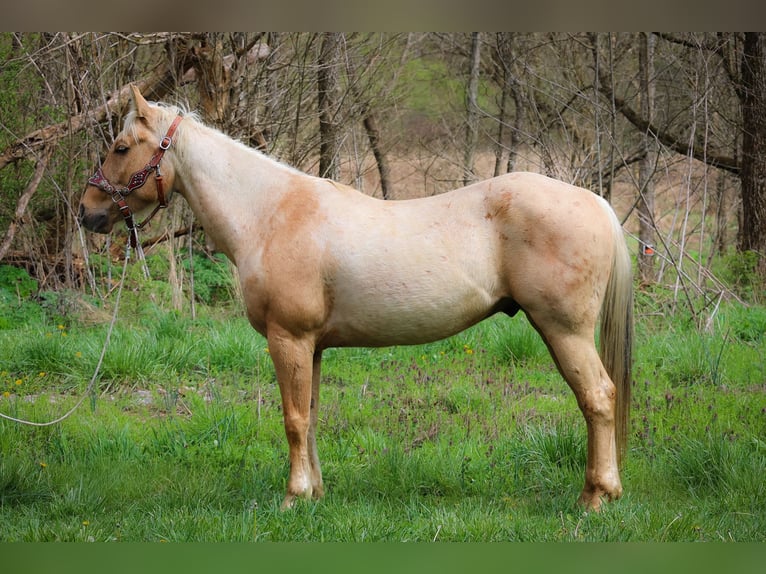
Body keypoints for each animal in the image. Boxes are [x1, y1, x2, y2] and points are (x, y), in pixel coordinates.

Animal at [79, 85, 636, 512]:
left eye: (122, 146)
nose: (87, 212)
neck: (270, 213)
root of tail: (594, 200)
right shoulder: (311, 346)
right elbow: (310, 416)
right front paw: (314, 493)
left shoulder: (288, 339)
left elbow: (293, 419)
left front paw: (292, 497)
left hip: (564, 331)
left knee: (598, 398)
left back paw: (596, 497)